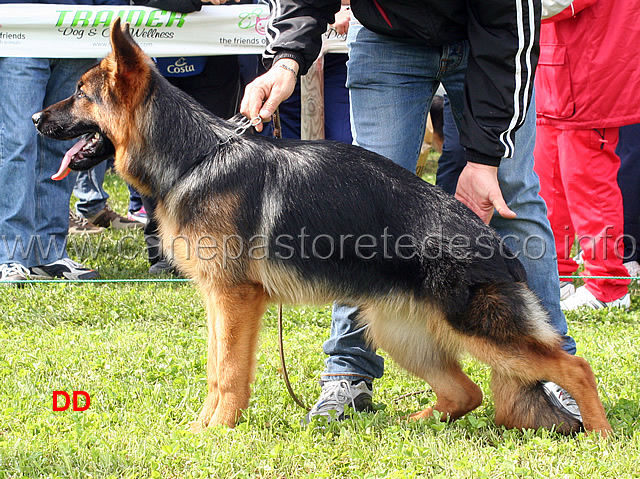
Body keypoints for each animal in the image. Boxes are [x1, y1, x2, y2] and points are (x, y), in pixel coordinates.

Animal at [32, 19, 612, 436]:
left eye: (79, 93)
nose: (37, 120)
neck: (195, 158)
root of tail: (498, 248)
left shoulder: (236, 299)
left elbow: (229, 373)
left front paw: (216, 431)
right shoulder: (219, 299)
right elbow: (216, 370)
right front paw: (205, 425)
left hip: (476, 328)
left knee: (574, 367)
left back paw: (601, 436)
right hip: (398, 332)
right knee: (466, 393)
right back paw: (414, 422)